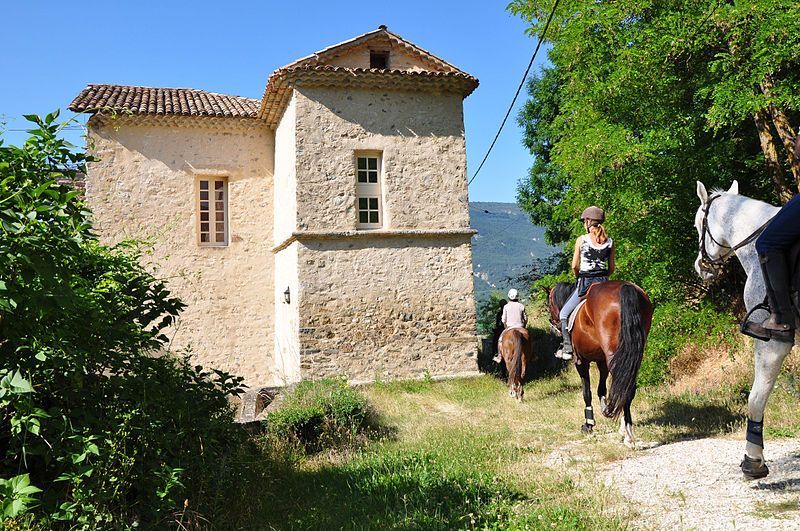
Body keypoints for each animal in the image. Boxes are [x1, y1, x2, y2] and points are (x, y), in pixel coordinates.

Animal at [548, 280, 652, 446]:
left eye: (549, 302)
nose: (553, 324)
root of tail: (625, 287)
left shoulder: (581, 361)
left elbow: (587, 393)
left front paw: (588, 424)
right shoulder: (602, 362)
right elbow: (601, 389)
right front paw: (607, 410)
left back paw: (628, 435)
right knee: (627, 385)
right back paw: (624, 427)